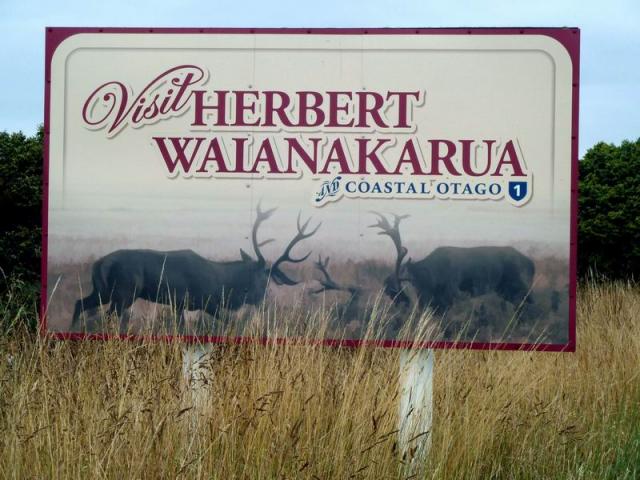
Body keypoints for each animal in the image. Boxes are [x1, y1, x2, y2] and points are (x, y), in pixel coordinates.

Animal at [71, 205, 320, 334]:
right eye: (262, 278)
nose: (263, 299)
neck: (222, 284)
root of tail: (99, 263)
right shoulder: (205, 301)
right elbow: (229, 322)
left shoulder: (179, 304)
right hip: (124, 292)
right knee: (105, 316)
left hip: (104, 291)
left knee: (80, 303)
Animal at [370, 213, 536, 312]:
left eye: (395, 285)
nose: (401, 301)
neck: (431, 278)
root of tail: (531, 264)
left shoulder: (451, 296)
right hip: (505, 291)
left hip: (517, 288)